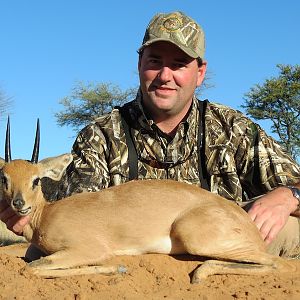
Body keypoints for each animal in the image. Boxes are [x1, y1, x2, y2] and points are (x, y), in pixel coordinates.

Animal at [0, 120, 296, 284]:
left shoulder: (87, 249)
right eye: (4, 178)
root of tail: (247, 222)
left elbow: (33, 269)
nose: (19, 204)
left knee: (279, 264)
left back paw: (199, 275)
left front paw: (117, 267)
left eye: (36, 180)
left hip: (196, 237)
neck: (45, 215)